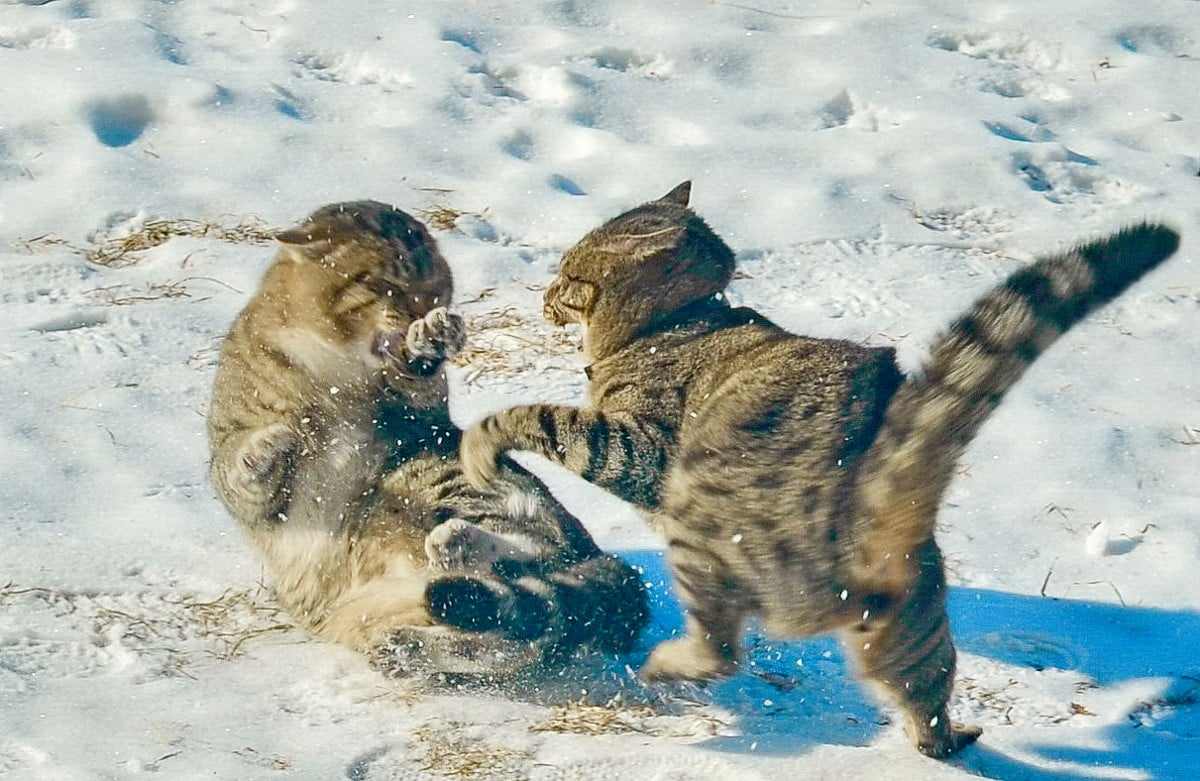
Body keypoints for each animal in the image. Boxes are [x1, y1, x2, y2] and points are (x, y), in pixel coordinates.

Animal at [206, 201, 648, 676]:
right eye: (383, 284)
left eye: (435, 290)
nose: (419, 313)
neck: (340, 361)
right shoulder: (241, 451)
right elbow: (241, 473)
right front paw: (272, 444)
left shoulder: (425, 414)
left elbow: (417, 379)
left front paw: (430, 340)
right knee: (513, 635)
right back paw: (408, 644)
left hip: (439, 478)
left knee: (533, 568)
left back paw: (457, 546)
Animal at [458, 183, 1180, 758]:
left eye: (566, 274)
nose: (544, 296)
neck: (678, 323)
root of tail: (870, 497)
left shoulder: (636, 446)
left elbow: (539, 418)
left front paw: (482, 443)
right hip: (916, 629)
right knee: (927, 697)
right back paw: (949, 739)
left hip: (700, 521)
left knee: (721, 650)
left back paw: (665, 666)